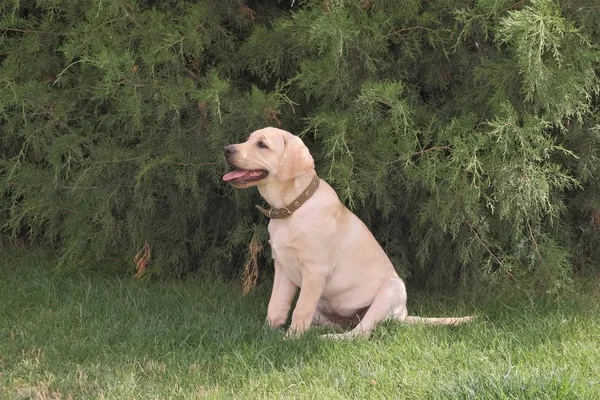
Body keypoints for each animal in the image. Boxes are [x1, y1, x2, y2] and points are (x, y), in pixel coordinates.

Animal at [223, 127, 472, 338]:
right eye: (247, 139)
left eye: (262, 145)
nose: (227, 149)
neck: (291, 209)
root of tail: (403, 315)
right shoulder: (283, 267)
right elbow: (276, 304)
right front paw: (267, 331)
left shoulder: (315, 272)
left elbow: (300, 309)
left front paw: (290, 339)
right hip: (324, 307)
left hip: (391, 290)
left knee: (359, 333)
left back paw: (326, 338)